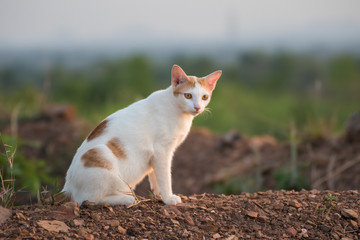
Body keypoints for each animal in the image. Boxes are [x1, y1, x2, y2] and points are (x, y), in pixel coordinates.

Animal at [62, 64, 221, 205]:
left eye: (204, 97)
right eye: (188, 95)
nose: (197, 107)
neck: (179, 112)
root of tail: (67, 187)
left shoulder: (156, 155)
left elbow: (155, 176)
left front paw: (159, 195)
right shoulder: (162, 150)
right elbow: (165, 177)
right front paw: (169, 198)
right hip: (101, 154)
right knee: (88, 200)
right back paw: (128, 199)